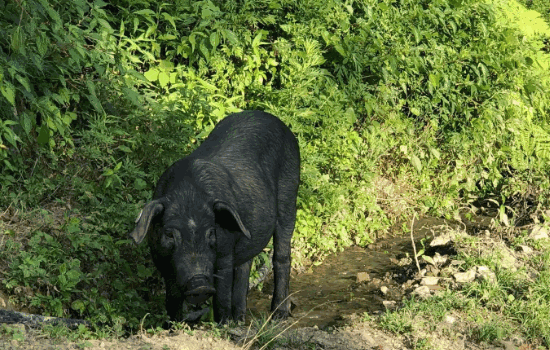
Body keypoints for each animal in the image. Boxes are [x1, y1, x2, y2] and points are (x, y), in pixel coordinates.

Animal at [130, 110, 302, 324]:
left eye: (211, 232)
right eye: (170, 234)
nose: (199, 284)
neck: (189, 195)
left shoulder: (225, 254)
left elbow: (221, 296)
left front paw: (223, 323)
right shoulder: (162, 262)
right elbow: (172, 301)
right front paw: (173, 325)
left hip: (290, 195)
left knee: (282, 256)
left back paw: (279, 315)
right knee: (245, 266)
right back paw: (240, 319)